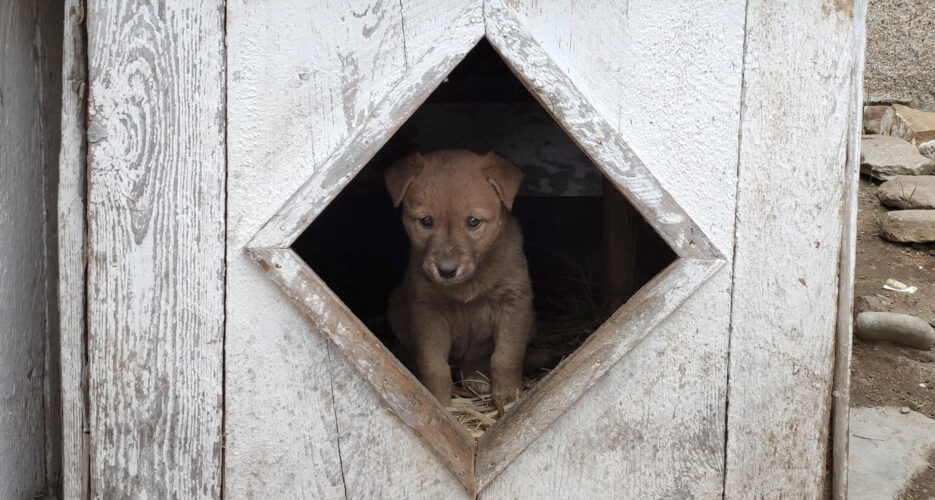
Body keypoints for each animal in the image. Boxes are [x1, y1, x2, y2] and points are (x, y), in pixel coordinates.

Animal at [386, 149, 532, 406]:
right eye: (426, 221)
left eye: (473, 222)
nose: (446, 270)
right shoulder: (427, 311)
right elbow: (433, 363)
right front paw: (438, 400)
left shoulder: (514, 302)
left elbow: (507, 356)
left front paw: (507, 395)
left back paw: (477, 377)